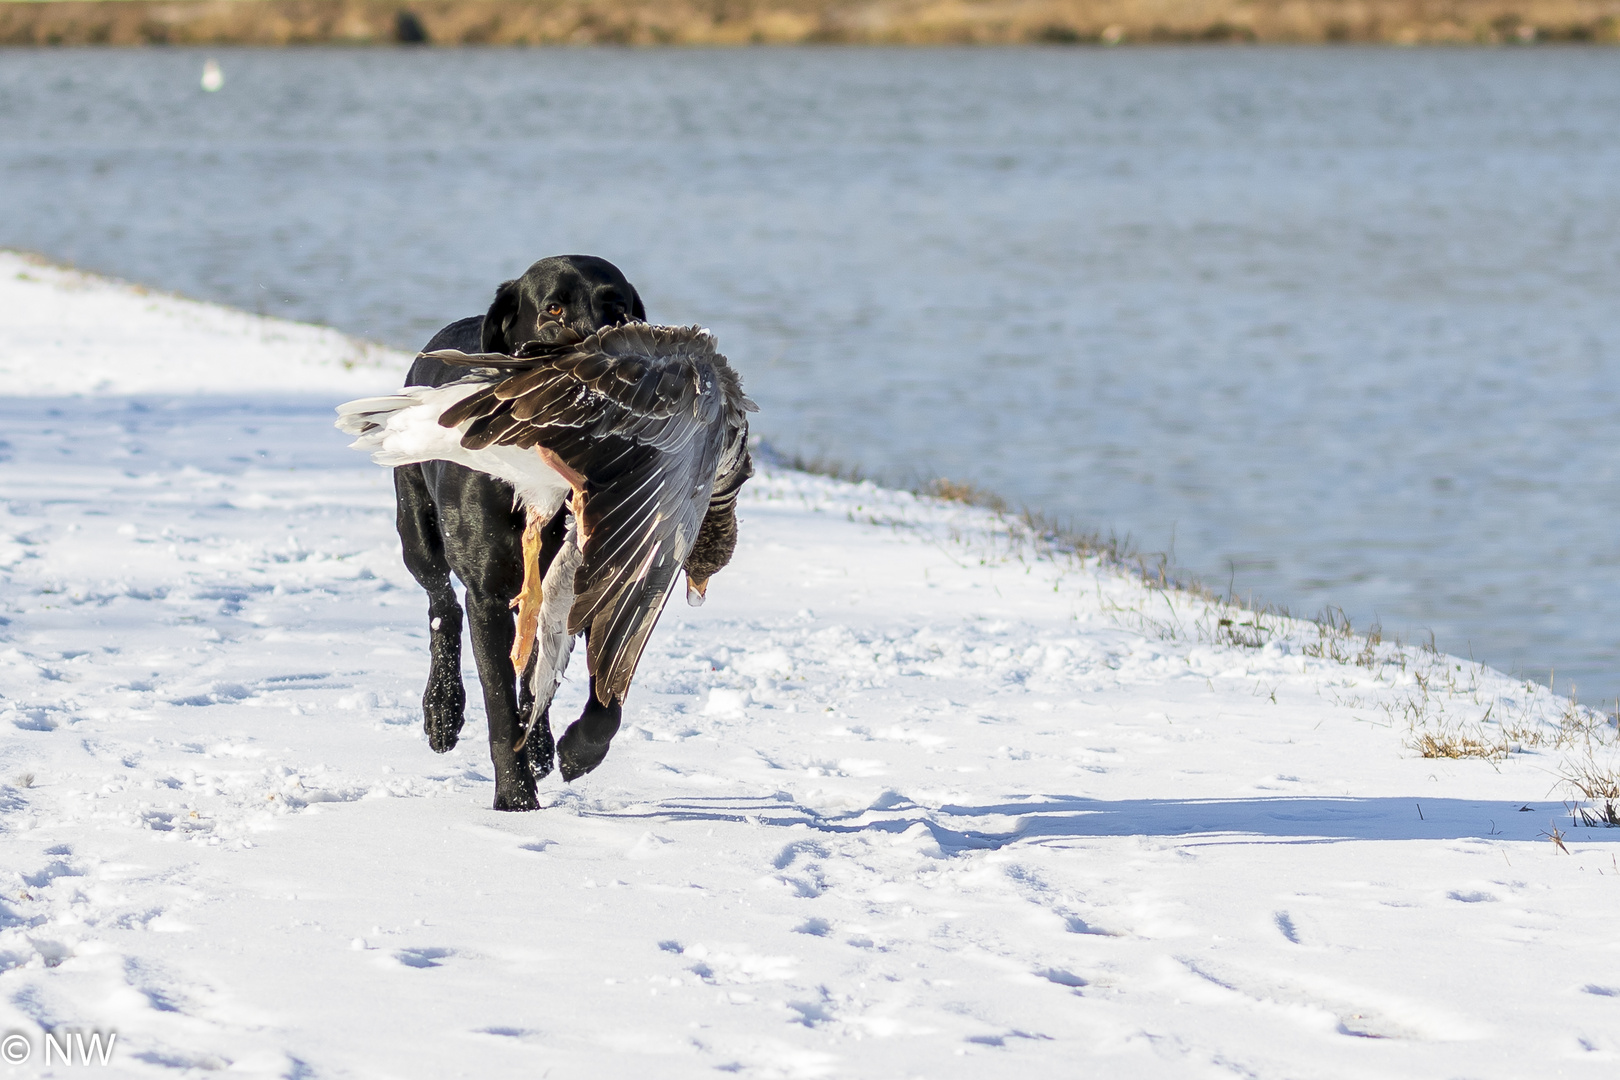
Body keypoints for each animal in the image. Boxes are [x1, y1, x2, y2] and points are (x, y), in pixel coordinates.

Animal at [392, 255, 644, 809]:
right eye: (553, 309)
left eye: (619, 310)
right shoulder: (487, 597)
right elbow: (500, 707)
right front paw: (515, 801)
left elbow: (604, 694)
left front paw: (578, 750)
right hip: (415, 529)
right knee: (442, 606)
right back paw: (442, 711)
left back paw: (543, 745)